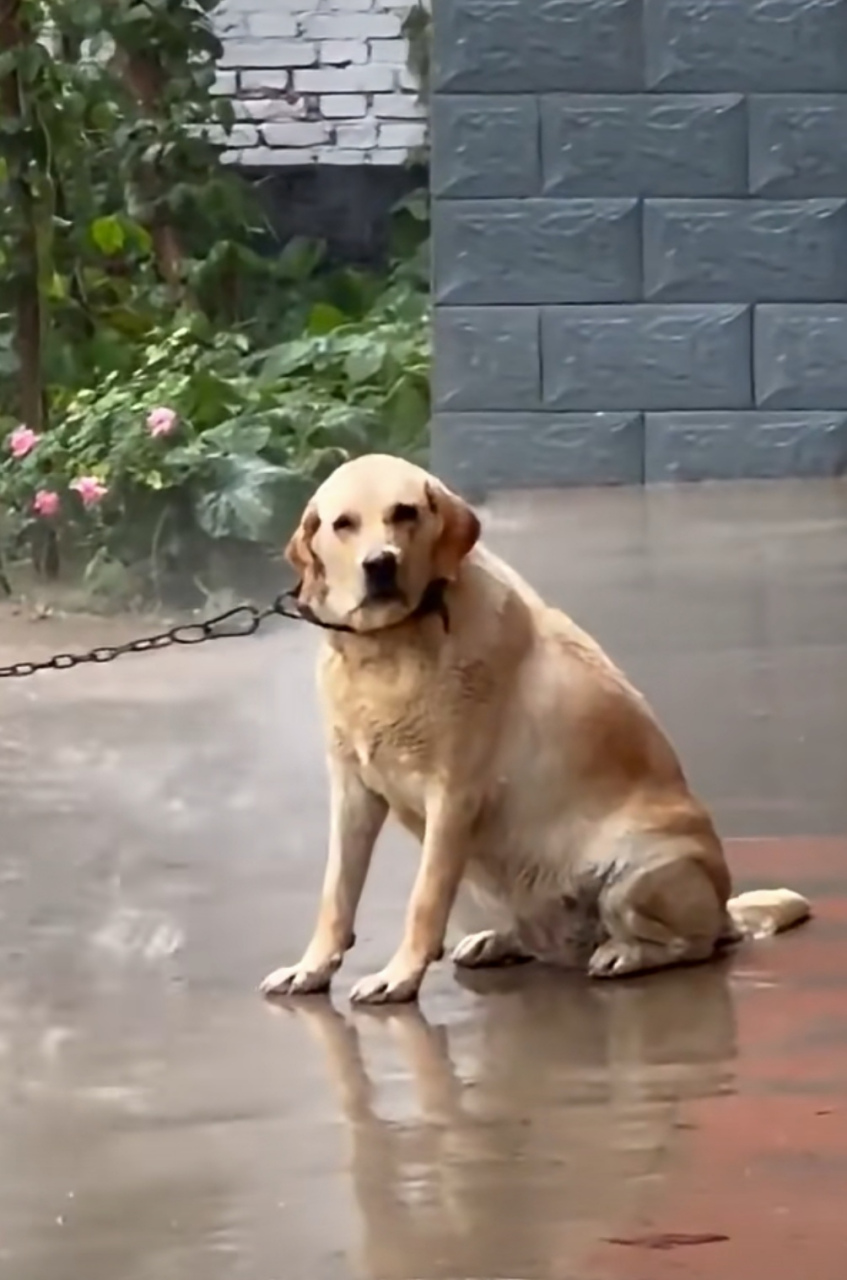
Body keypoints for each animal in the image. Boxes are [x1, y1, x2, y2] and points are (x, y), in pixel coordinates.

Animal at [262, 455, 813, 1003]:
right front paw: (311, 967)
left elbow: (424, 899)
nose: (380, 564)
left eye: (405, 513)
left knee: (691, 943)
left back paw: (623, 952)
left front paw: (399, 976)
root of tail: (724, 910)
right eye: (343, 524)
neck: (386, 649)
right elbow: (337, 893)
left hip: (636, 870)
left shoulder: (453, 796)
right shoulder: (353, 792)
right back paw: (500, 940)